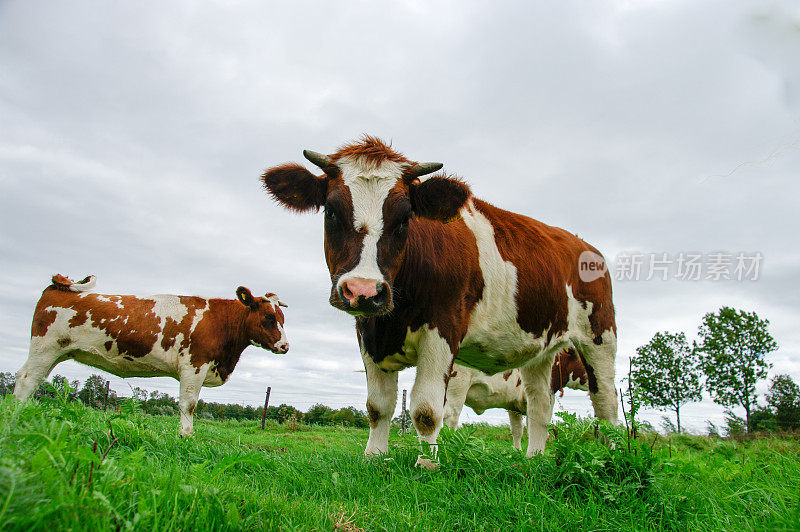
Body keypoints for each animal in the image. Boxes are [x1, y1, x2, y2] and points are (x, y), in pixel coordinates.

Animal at [14, 274, 290, 436]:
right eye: (268, 317)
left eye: (283, 318)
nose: (286, 347)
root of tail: (55, 287)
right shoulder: (194, 365)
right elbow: (189, 404)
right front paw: (186, 437)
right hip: (45, 348)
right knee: (27, 380)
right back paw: (15, 415)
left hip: (57, 352)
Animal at [440, 348, 592, 450]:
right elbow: (538, 428)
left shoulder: (514, 406)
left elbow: (517, 430)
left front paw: (516, 452)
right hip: (456, 391)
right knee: (449, 421)